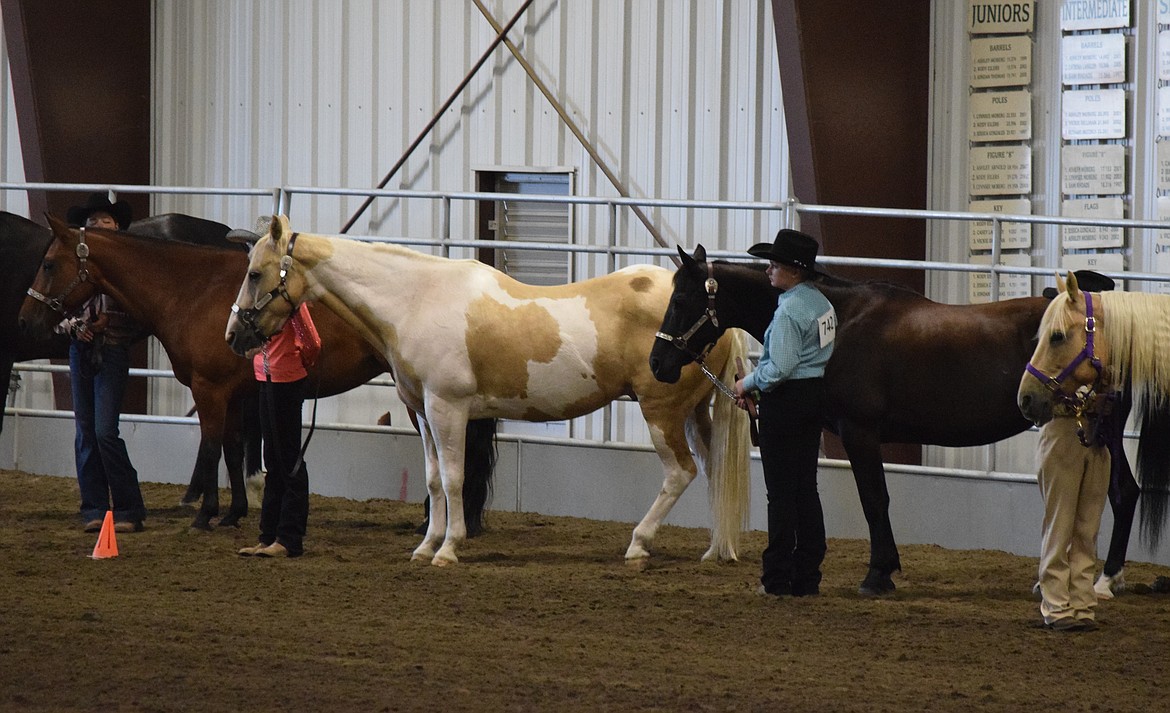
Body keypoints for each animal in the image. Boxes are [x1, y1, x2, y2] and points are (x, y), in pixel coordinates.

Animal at [17, 214, 493, 531]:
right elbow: (231, 449)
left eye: (48, 263)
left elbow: (210, 448)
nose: (25, 320)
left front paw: (204, 515)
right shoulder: (235, 394)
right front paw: (232, 513)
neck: (191, 291)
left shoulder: (210, 391)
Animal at [223, 214, 748, 564]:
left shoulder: (448, 408)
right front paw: (425, 546)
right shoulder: (423, 412)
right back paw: (713, 550)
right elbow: (434, 480)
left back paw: (638, 544)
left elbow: (455, 479)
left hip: (661, 413)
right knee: (710, 469)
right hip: (693, 414)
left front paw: (448, 549)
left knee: (680, 473)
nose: (233, 336)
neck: (415, 299)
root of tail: (723, 324)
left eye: (254, 273)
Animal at [650, 244, 1141, 594]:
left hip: (1105, 431)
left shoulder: (860, 433)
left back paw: (1105, 580)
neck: (844, 323)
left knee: (1123, 492)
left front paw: (878, 574)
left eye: (682, 299)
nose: (657, 364)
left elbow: (874, 500)